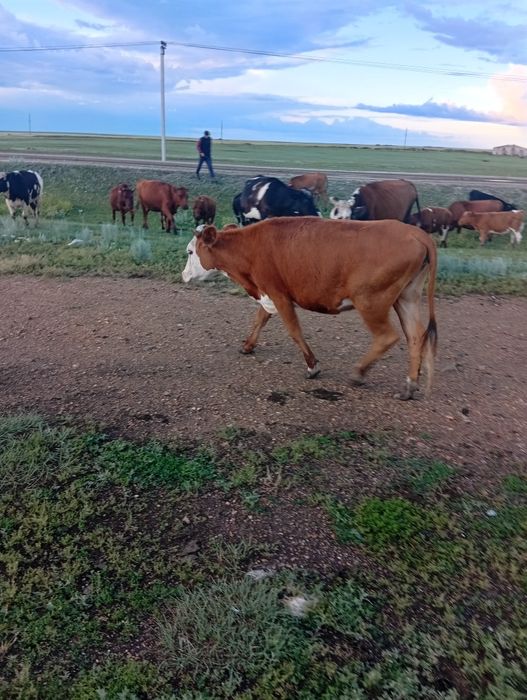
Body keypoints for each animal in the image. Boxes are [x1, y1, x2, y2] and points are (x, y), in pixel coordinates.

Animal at [182, 217, 437, 401]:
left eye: (190, 252)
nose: (183, 274)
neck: (249, 248)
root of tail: (415, 232)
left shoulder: (279, 294)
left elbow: (294, 331)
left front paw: (312, 366)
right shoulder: (269, 294)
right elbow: (260, 319)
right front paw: (247, 345)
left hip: (370, 301)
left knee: (387, 336)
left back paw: (359, 373)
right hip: (406, 297)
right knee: (416, 336)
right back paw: (409, 386)